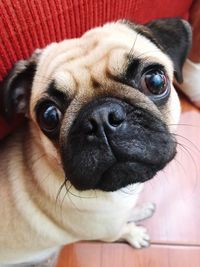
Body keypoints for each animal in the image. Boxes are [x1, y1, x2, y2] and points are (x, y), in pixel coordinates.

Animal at [0, 17, 191, 266]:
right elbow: (122, 230)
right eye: (49, 116)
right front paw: (135, 233)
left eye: (155, 80)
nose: (101, 118)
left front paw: (139, 211)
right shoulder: (108, 231)